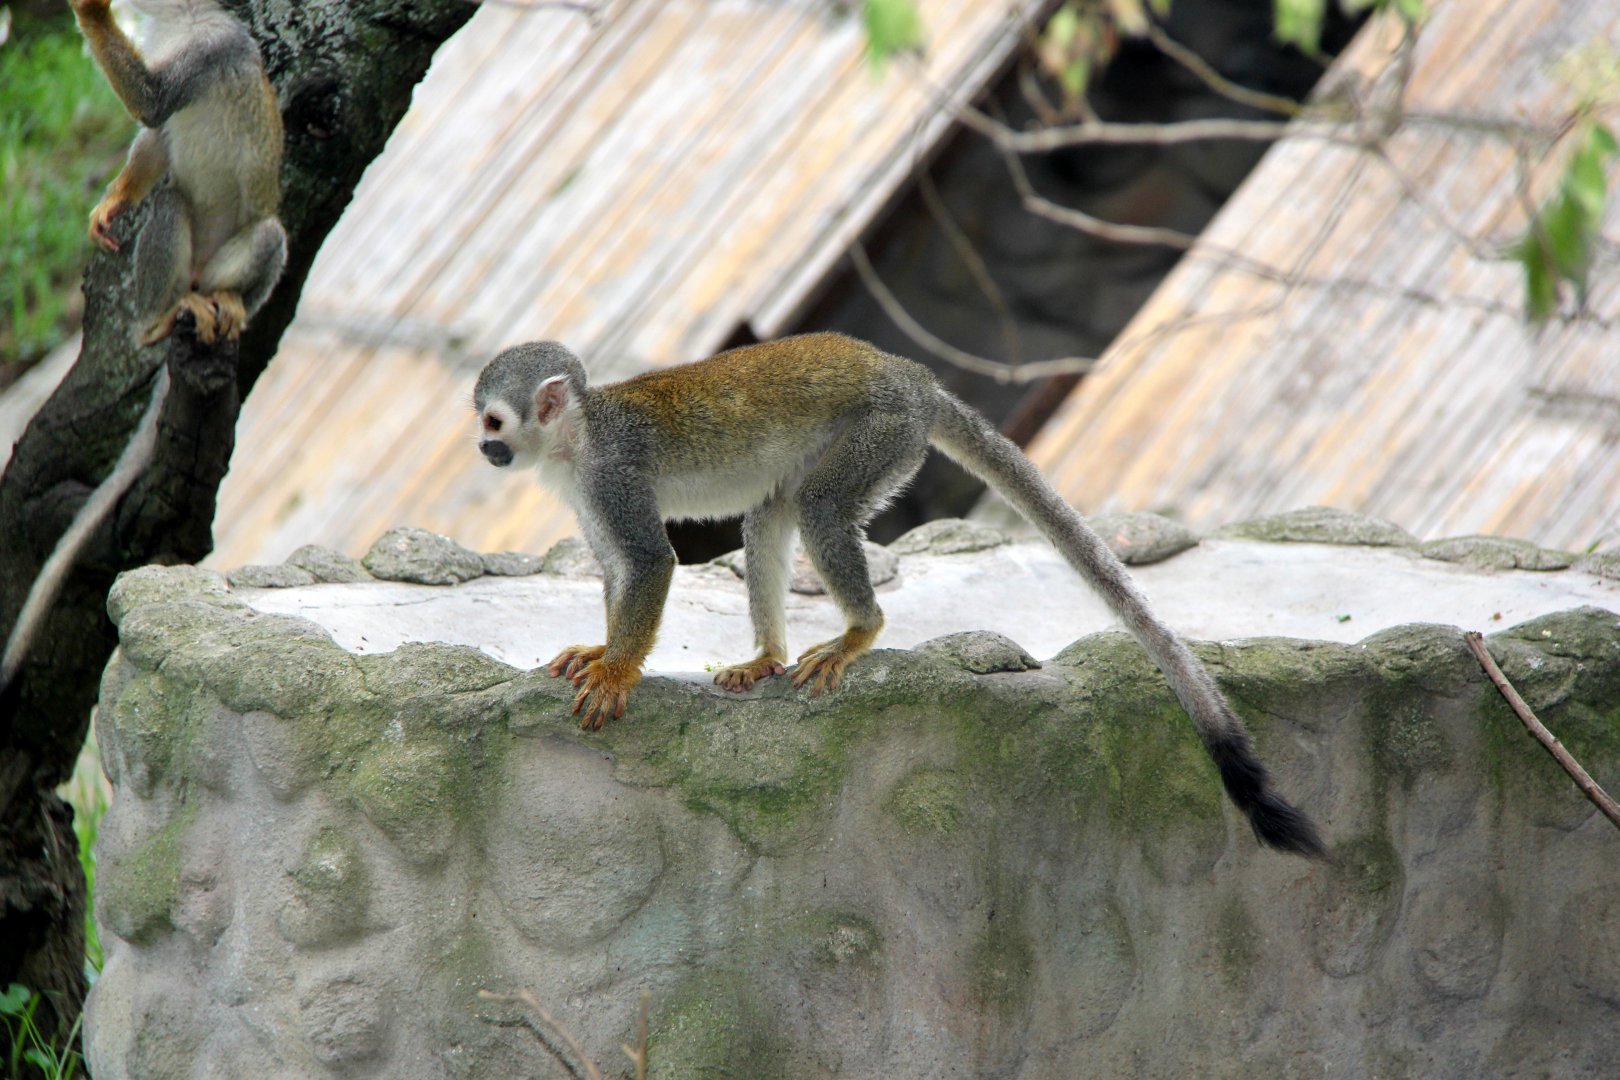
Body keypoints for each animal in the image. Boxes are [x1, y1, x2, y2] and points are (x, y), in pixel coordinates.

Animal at [70, 0, 286, 346]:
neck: (180, 16)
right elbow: (160, 138)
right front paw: (117, 200)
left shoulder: (212, 44)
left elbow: (153, 102)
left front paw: (91, 10)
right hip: (189, 274)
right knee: (170, 202)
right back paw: (166, 315)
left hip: (215, 267)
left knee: (269, 232)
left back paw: (212, 305)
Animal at [472, 332, 1324, 856]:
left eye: (494, 421)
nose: (483, 450)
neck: (578, 437)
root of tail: (909, 374)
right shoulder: (583, 487)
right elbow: (622, 571)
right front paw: (600, 648)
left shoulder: (609, 472)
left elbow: (651, 562)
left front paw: (617, 671)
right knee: (776, 508)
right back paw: (768, 654)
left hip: (882, 430)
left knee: (818, 507)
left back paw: (861, 630)